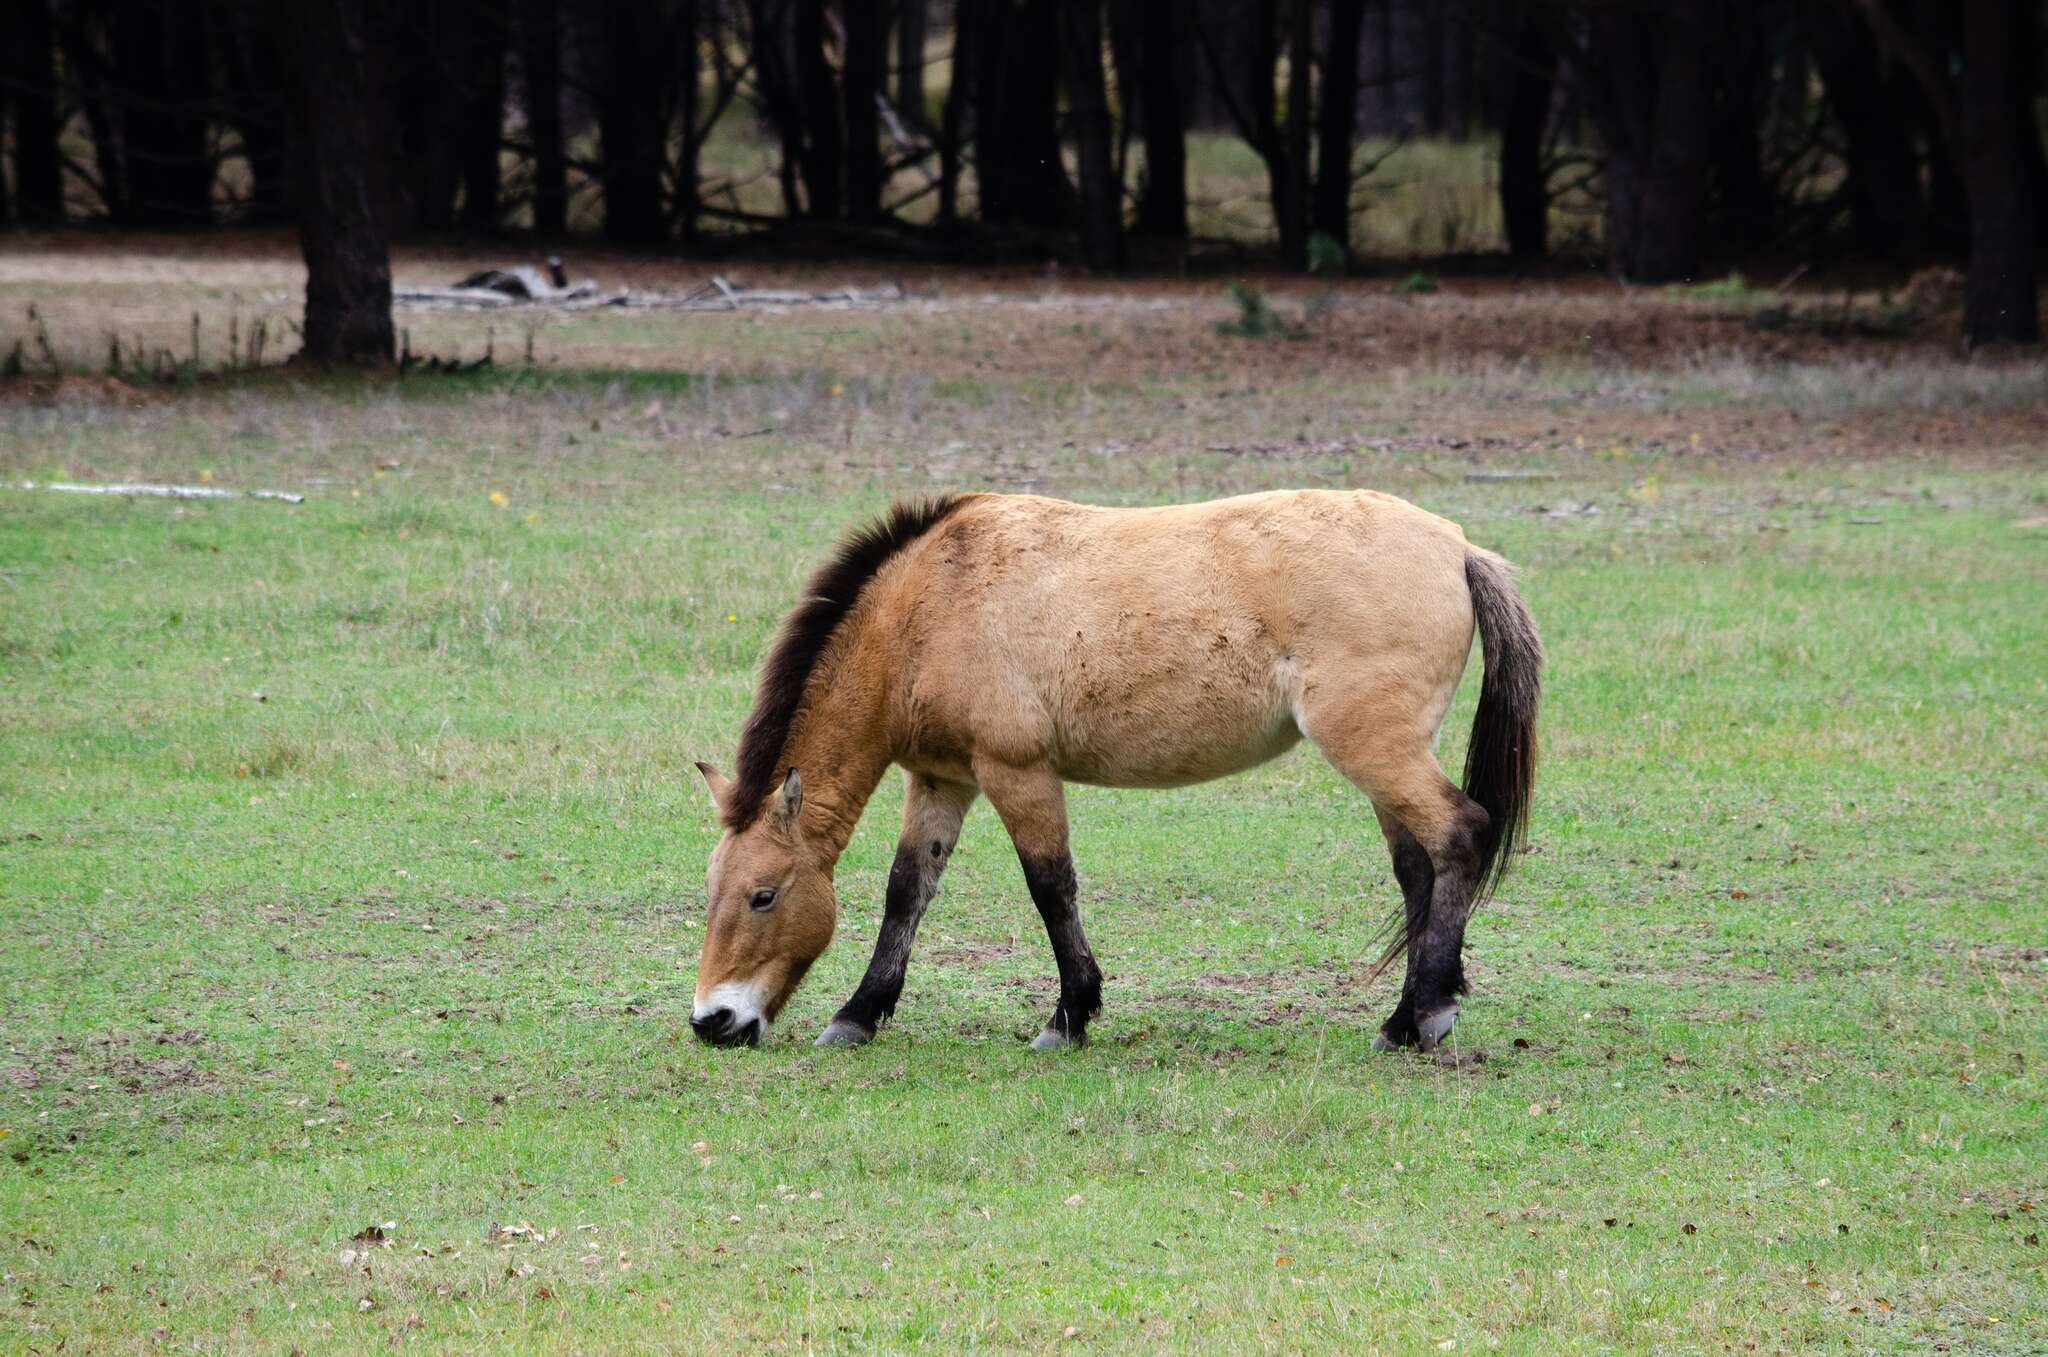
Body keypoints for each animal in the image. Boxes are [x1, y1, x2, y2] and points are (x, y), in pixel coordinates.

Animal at [688, 493, 1540, 1056]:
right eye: (713, 889)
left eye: (764, 895)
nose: (712, 1021)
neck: (931, 605)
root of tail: (1456, 546)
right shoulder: (941, 780)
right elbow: (908, 892)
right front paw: (858, 1014)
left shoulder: (1018, 771)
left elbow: (1051, 887)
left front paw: (1068, 1016)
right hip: (1385, 756)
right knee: (1418, 867)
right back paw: (1410, 1014)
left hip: (1373, 748)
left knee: (1459, 833)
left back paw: (1423, 1016)